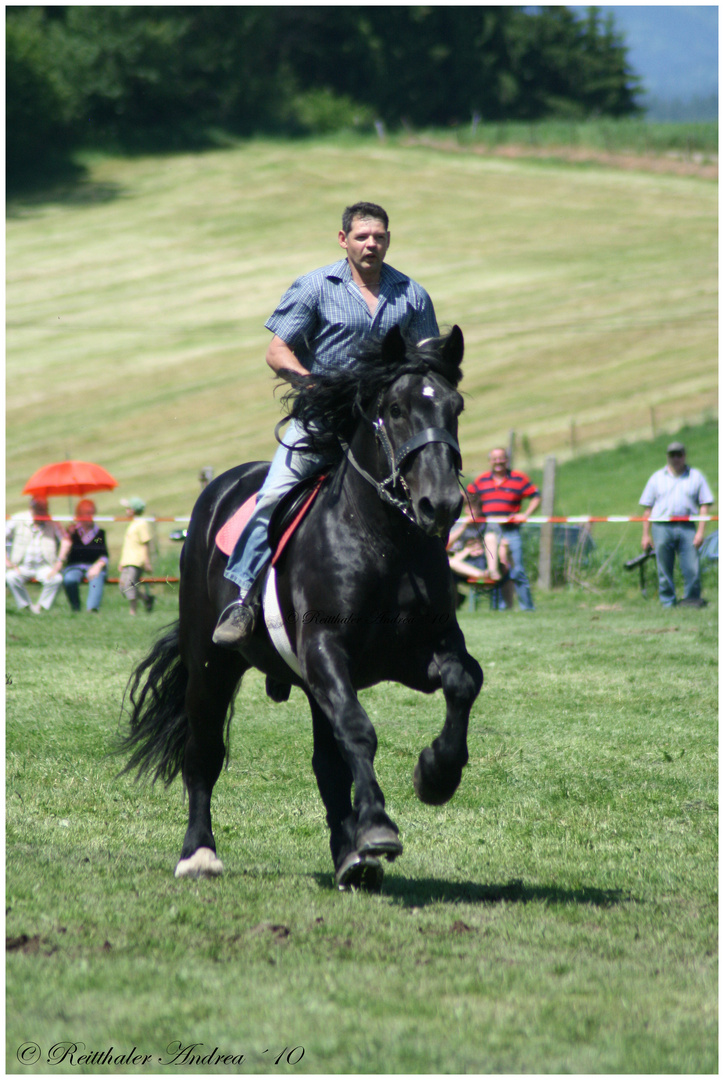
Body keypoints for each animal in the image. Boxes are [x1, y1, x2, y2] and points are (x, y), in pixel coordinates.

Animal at [120, 324, 481, 889]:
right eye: (396, 409)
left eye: (456, 407)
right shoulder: (326, 649)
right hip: (212, 664)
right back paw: (198, 853)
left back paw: (350, 858)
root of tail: (216, 493)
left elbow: (463, 683)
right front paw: (378, 826)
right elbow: (358, 729)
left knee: (326, 764)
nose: (439, 504)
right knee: (204, 753)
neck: (383, 542)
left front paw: (435, 774)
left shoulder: (421, 650)